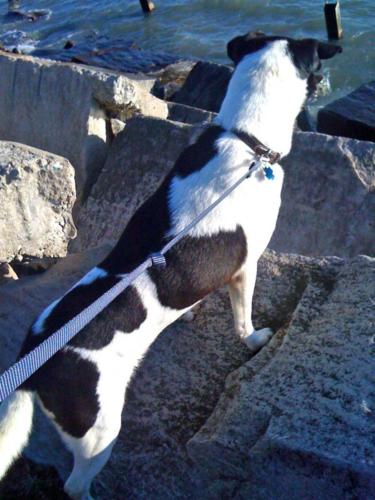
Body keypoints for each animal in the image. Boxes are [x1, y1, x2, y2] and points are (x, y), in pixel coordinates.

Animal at [0, 33, 342, 498]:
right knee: (74, 484)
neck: (245, 140)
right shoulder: (246, 267)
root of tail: (32, 368)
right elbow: (243, 320)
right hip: (99, 429)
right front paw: (255, 339)